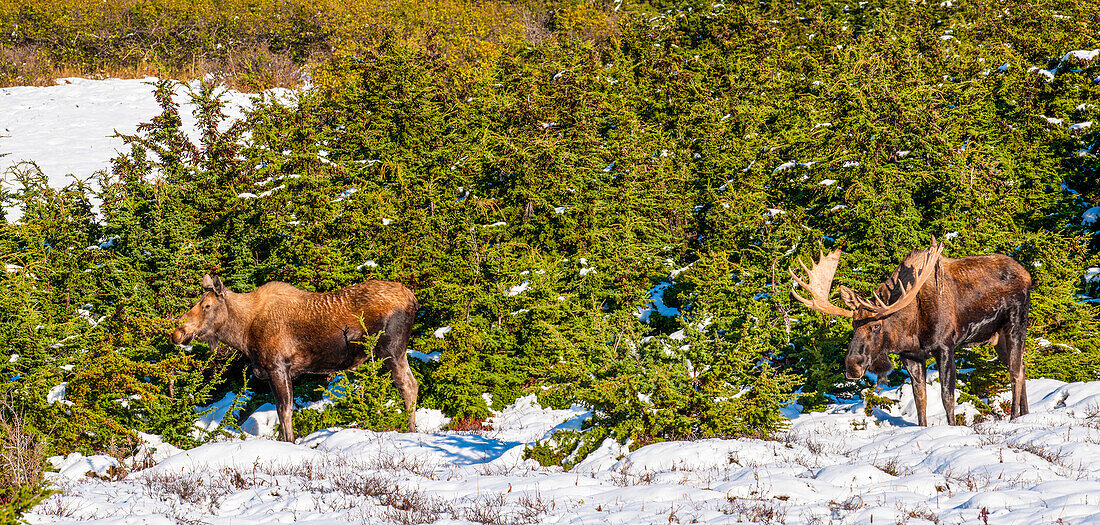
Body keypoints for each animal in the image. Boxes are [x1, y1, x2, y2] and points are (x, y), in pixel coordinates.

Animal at [171, 274, 420, 442]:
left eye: (207, 305)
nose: (178, 333)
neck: (243, 333)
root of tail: (413, 299)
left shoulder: (279, 366)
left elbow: (285, 410)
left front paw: (290, 441)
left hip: (391, 348)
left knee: (407, 385)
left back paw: (410, 429)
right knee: (413, 383)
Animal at [792, 237, 1029, 424]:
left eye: (876, 325)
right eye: (853, 325)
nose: (852, 365)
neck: (910, 330)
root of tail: (1027, 274)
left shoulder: (945, 347)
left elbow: (947, 397)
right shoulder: (911, 356)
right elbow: (920, 400)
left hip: (1016, 324)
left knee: (1015, 372)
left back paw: (1014, 417)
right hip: (998, 339)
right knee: (1021, 366)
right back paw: (1026, 414)